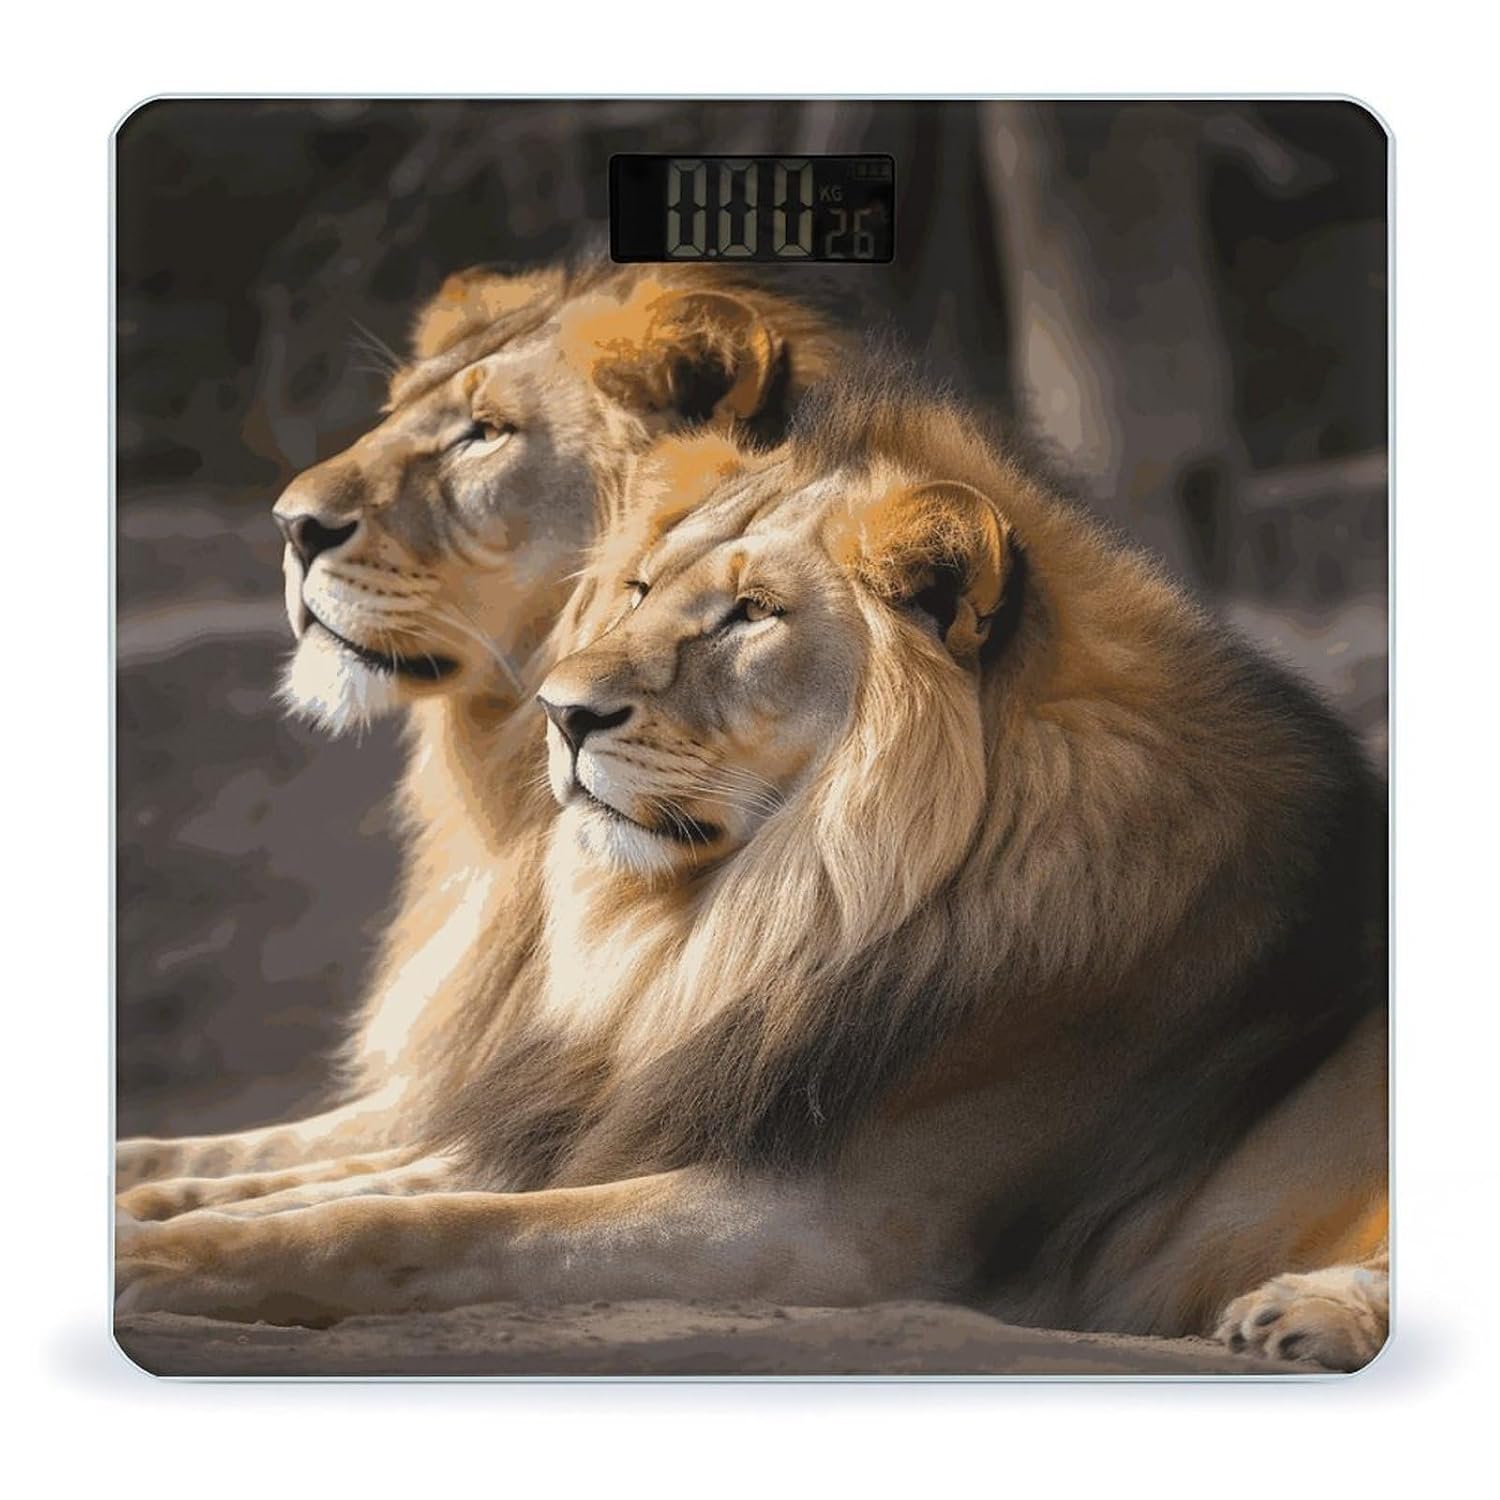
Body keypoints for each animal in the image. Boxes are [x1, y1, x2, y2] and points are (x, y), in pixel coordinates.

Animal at [117, 371, 1387, 1370]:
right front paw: (147, 1201)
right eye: (640, 590)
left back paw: (1306, 1313)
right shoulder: (635, 1115)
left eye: (752, 615)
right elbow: (330, 1174)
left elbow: (413, 1227)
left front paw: (152, 1256)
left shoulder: (834, 1231)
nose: (561, 713)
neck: (756, 922)